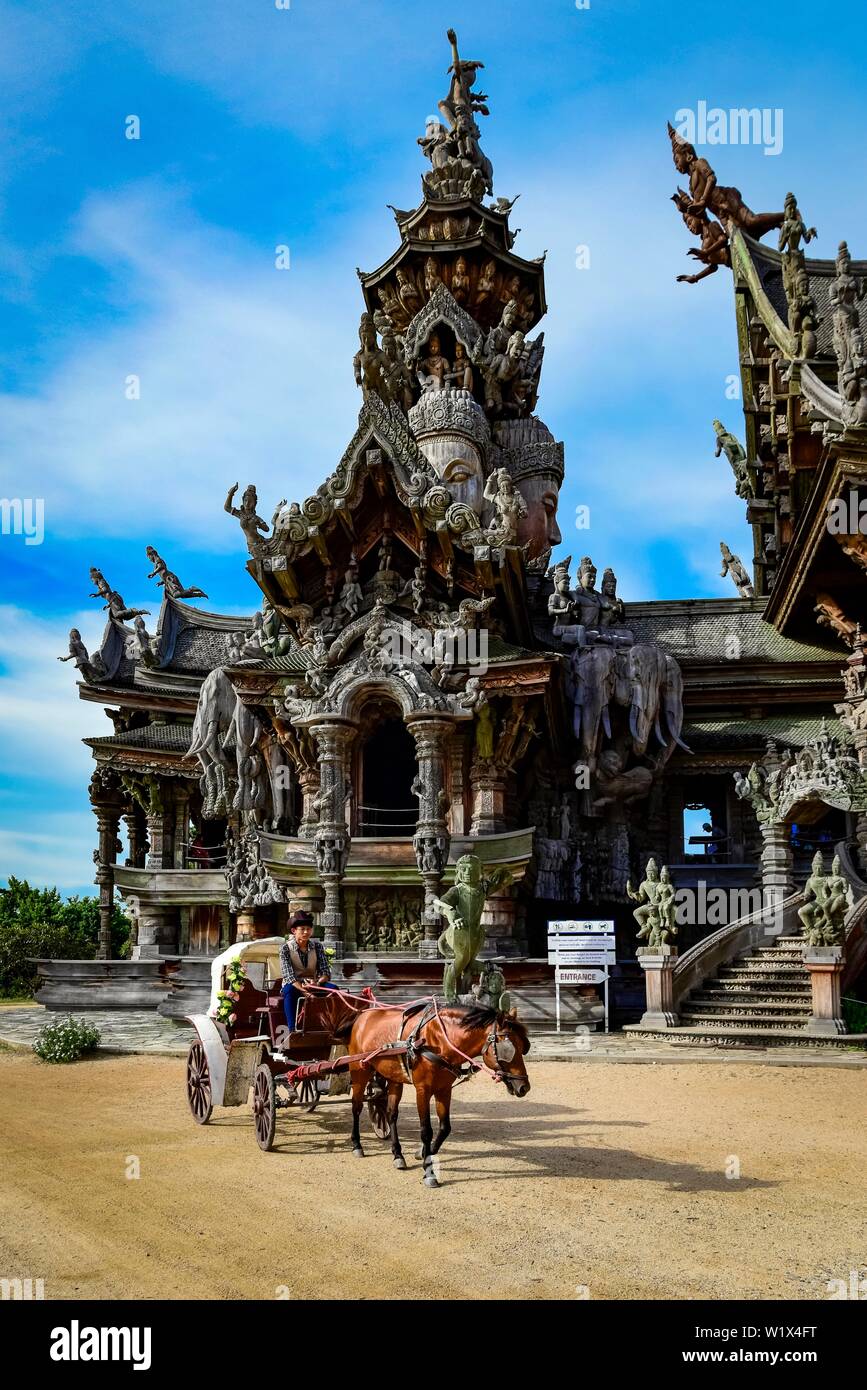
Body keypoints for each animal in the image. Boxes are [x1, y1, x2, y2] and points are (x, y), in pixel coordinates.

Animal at [343, 1006, 527, 1189]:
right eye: (508, 1048)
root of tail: (364, 1015)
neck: (440, 1042)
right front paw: (429, 1172)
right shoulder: (422, 1091)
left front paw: (425, 1153)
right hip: (359, 1071)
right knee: (356, 1107)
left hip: (394, 1078)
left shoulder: (444, 1090)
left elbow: (445, 1128)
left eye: (524, 1046)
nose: (524, 1087)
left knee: (391, 1114)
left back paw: (398, 1154)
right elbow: (426, 1131)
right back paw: (357, 1145)